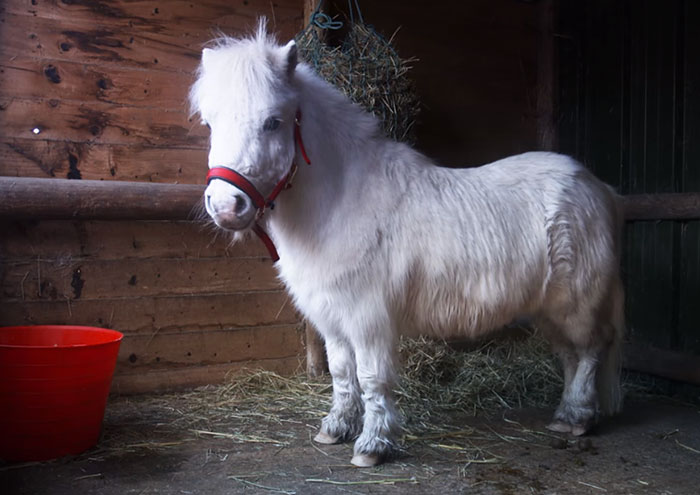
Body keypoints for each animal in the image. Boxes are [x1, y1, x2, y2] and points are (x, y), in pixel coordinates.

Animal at [190, 22, 625, 467]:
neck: (341, 201)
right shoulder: (332, 318)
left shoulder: (367, 319)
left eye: (273, 122)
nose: (226, 206)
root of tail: (598, 187)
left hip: (577, 303)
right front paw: (336, 428)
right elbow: (342, 374)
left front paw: (372, 445)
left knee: (591, 349)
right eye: (209, 123)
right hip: (549, 309)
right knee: (571, 355)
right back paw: (565, 416)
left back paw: (578, 418)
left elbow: (371, 379)